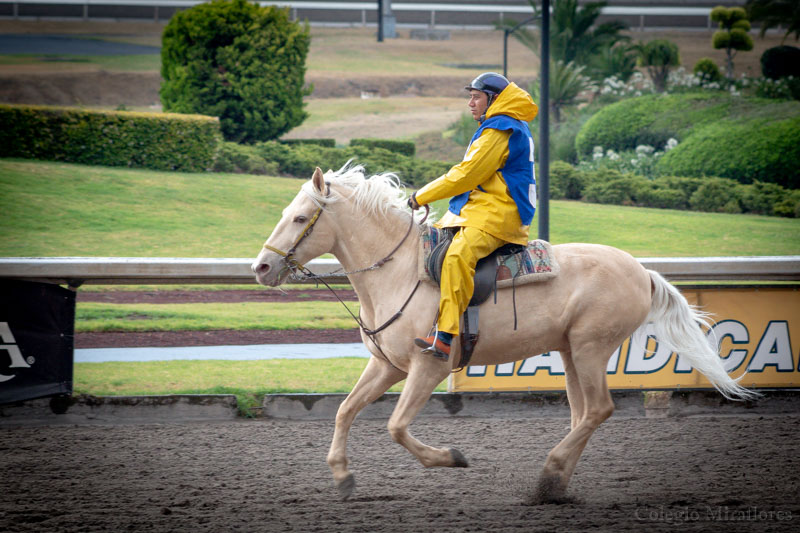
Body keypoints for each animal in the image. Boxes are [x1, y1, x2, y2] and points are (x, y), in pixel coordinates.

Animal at [253, 164, 760, 500]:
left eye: (300, 217)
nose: (260, 267)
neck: (400, 271)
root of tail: (642, 272)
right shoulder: (386, 366)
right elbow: (344, 411)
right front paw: (342, 476)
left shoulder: (429, 367)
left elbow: (396, 426)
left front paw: (451, 457)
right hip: (572, 353)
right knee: (583, 414)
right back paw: (555, 483)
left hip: (591, 348)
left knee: (599, 409)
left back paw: (549, 474)